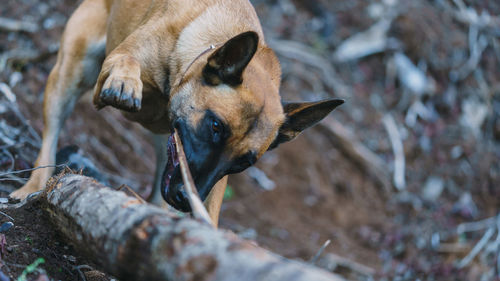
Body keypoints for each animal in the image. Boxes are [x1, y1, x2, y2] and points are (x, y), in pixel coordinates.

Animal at [10, 0, 344, 224]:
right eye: (215, 126)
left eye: (244, 163)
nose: (185, 199)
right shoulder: (114, 65)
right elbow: (127, 61)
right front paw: (126, 81)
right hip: (70, 74)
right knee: (50, 138)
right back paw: (33, 186)